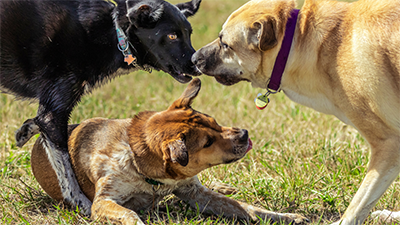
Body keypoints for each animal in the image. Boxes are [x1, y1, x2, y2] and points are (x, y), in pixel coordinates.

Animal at [0, 0, 200, 216]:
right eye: (172, 36)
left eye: (189, 34)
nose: (198, 64)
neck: (114, 32)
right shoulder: (54, 112)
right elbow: (67, 173)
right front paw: (83, 205)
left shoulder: (50, 109)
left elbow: (39, 124)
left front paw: (25, 130)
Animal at [21, 78, 306, 225]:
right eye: (207, 143)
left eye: (215, 122)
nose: (244, 134)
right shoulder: (103, 201)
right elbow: (129, 214)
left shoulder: (195, 192)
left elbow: (248, 208)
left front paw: (285, 216)